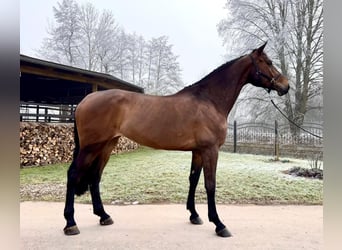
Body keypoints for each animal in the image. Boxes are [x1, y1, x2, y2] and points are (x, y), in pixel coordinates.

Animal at [63, 42, 288, 237]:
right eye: (268, 62)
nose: (285, 86)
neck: (209, 100)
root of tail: (85, 100)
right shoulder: (210, 150)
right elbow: (210, 184)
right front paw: (219, 224)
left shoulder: (198, 151)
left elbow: (193, 179)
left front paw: (194, 215)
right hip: (91, 147)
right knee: (73, 175)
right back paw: (70, 224)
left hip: (107, 145)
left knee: (95, 177)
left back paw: (103, 216)